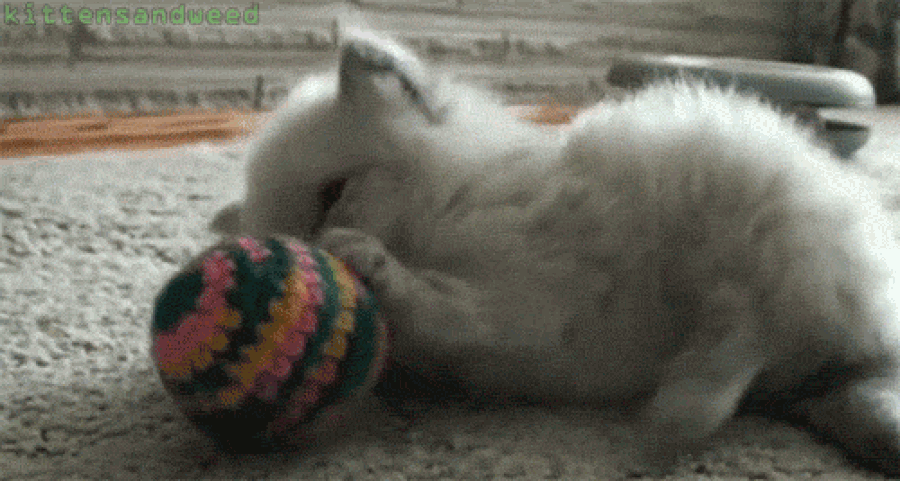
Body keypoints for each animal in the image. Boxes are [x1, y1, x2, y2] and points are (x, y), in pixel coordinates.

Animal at [212, 28, 900, 475]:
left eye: (334, 195)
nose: (309, 262)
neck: (457, 195)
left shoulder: (531, 297)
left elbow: (444, 303)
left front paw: (365, 257)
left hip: (766, 223)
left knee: (751, 325)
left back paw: (678, 410)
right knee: (820, 374)